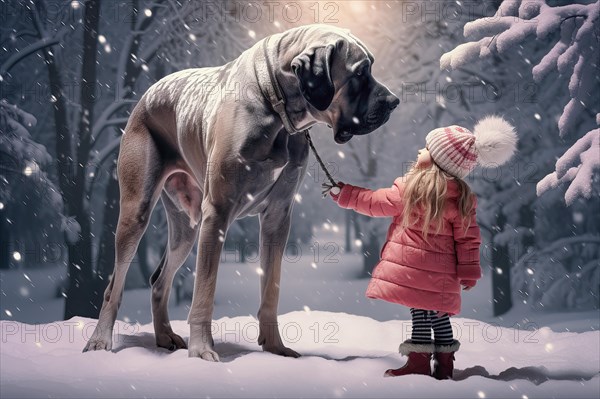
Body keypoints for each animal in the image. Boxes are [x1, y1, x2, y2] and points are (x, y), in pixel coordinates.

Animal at [83, 25, 398, 362]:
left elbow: (271, 287)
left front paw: (275, 348)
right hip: (137, 213)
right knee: (114, 285)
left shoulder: (277, 218)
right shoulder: (218, 214)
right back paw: (100, 341)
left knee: (159, 280)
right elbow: (205, 289)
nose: (394, 101)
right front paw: (202, 350)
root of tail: (148, 92)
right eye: (359, 73)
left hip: (187, 228)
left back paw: (164, 336)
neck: (275, 104)